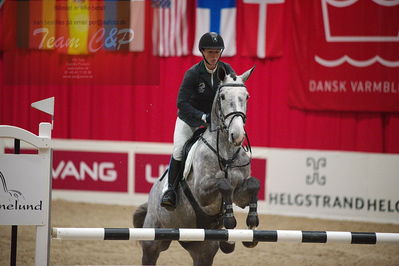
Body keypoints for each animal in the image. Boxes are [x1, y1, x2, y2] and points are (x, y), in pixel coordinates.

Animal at [133, 65, 260, 266]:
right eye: (222, 97)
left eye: (246, 96)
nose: (237, 135)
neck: (225, 152)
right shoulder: (202, 192)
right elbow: (224, 184)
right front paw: (229, 221)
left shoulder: (240, 194)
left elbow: (253, 184)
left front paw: (252, 223)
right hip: (152, 241)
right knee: (150, 254)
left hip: (203, 249)